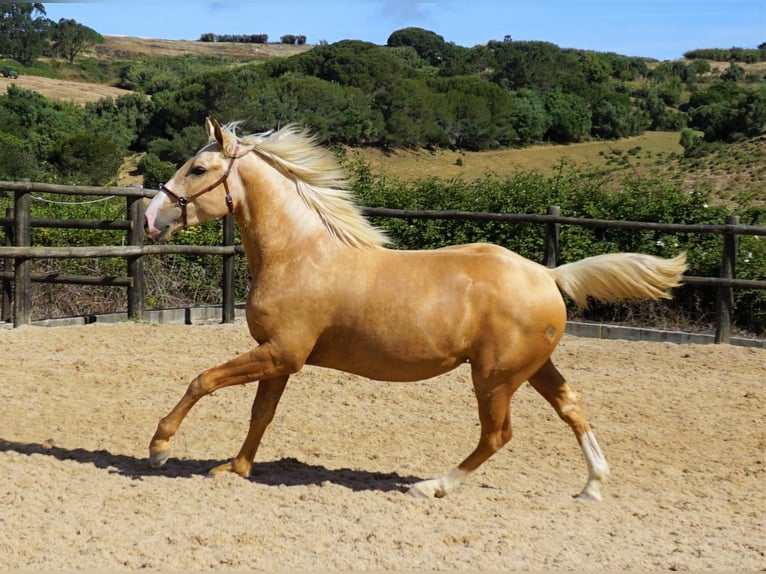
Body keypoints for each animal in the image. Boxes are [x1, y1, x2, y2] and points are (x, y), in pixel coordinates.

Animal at [144, 119, 688, 502]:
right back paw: (592, 486)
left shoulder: (281, 353)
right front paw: (233, 469)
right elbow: (261, 414)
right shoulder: (280, 357)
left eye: (197, 169)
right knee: (571, 407)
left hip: (494, 378)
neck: (300, 253)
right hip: (532, 368)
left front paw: (160, 449)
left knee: (498, 434)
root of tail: (548, 275)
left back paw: (432, 486)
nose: (150, 219)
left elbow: (203, 381)